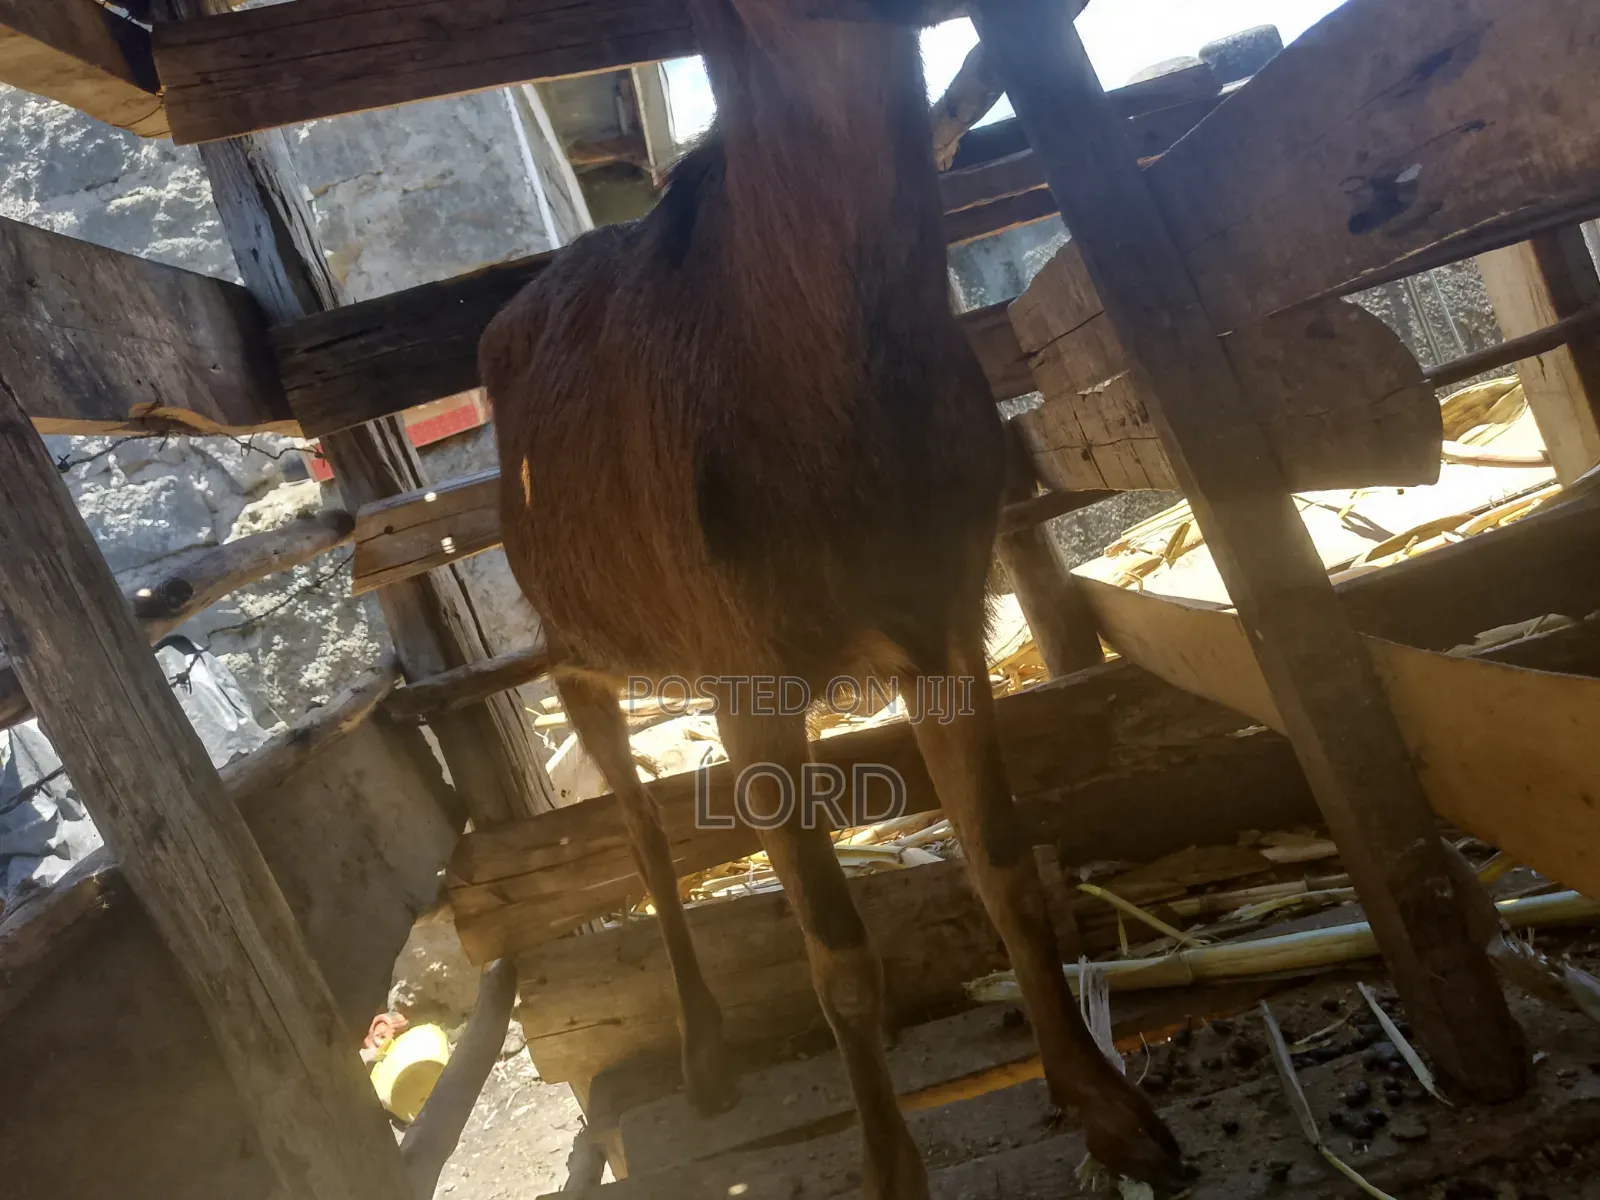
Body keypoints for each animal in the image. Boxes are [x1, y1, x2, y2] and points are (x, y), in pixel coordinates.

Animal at [482, 0, 1183, 1192]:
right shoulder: (743, 676)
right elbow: (838, 954)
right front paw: (890, 1167)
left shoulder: (945, 613)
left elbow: (1005, 868)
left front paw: (1109, 1109)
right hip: (571, 622)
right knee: (631, 808)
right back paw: (705, 1053)